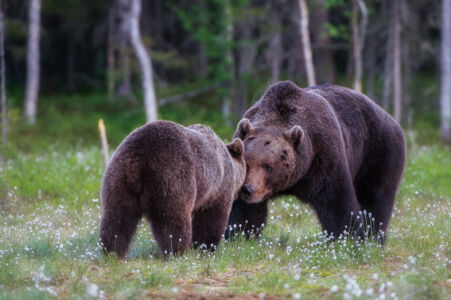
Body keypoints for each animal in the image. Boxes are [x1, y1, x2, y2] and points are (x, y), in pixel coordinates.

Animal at [99, 120, 247, 258]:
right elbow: (212, 218)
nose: (243, 191)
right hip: (172, 176)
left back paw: (112, 251)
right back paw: (175, 251)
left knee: (117, 217)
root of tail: (137, 162)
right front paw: (204, 247)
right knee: (173, 221)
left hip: (118, 178)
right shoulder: (218, 187)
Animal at [228, 81, 408, 243]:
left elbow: (335, 200)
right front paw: (239, 236)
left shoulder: (323, 155)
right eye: (248, 163)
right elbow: (243, 211)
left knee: (375, 197)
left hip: (379, 150)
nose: (247, 189)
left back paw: (373, 236)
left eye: (268, 166)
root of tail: (390, 118)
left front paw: (345, 237)